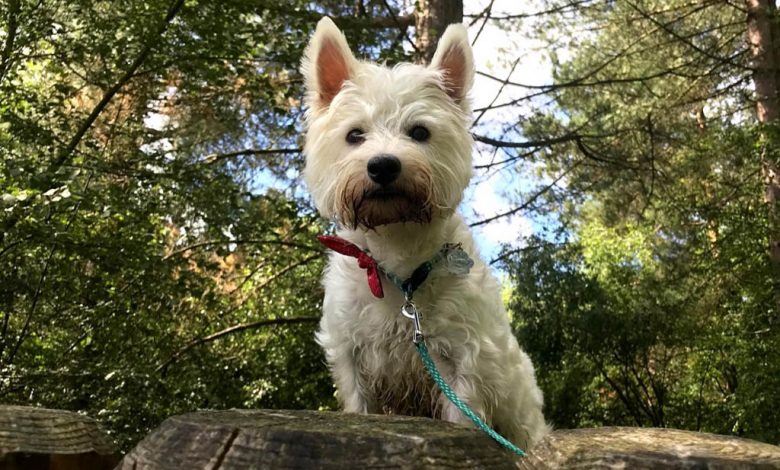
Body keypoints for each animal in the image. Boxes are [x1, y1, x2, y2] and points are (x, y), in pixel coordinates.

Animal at [300, 17, 548, 448]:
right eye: (354, 135)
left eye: (419, 132)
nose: (383, 165)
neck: (397, 259)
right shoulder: (352, 355)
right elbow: (358, 405)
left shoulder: (460, 357)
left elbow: (461, 416)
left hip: (520, 408)